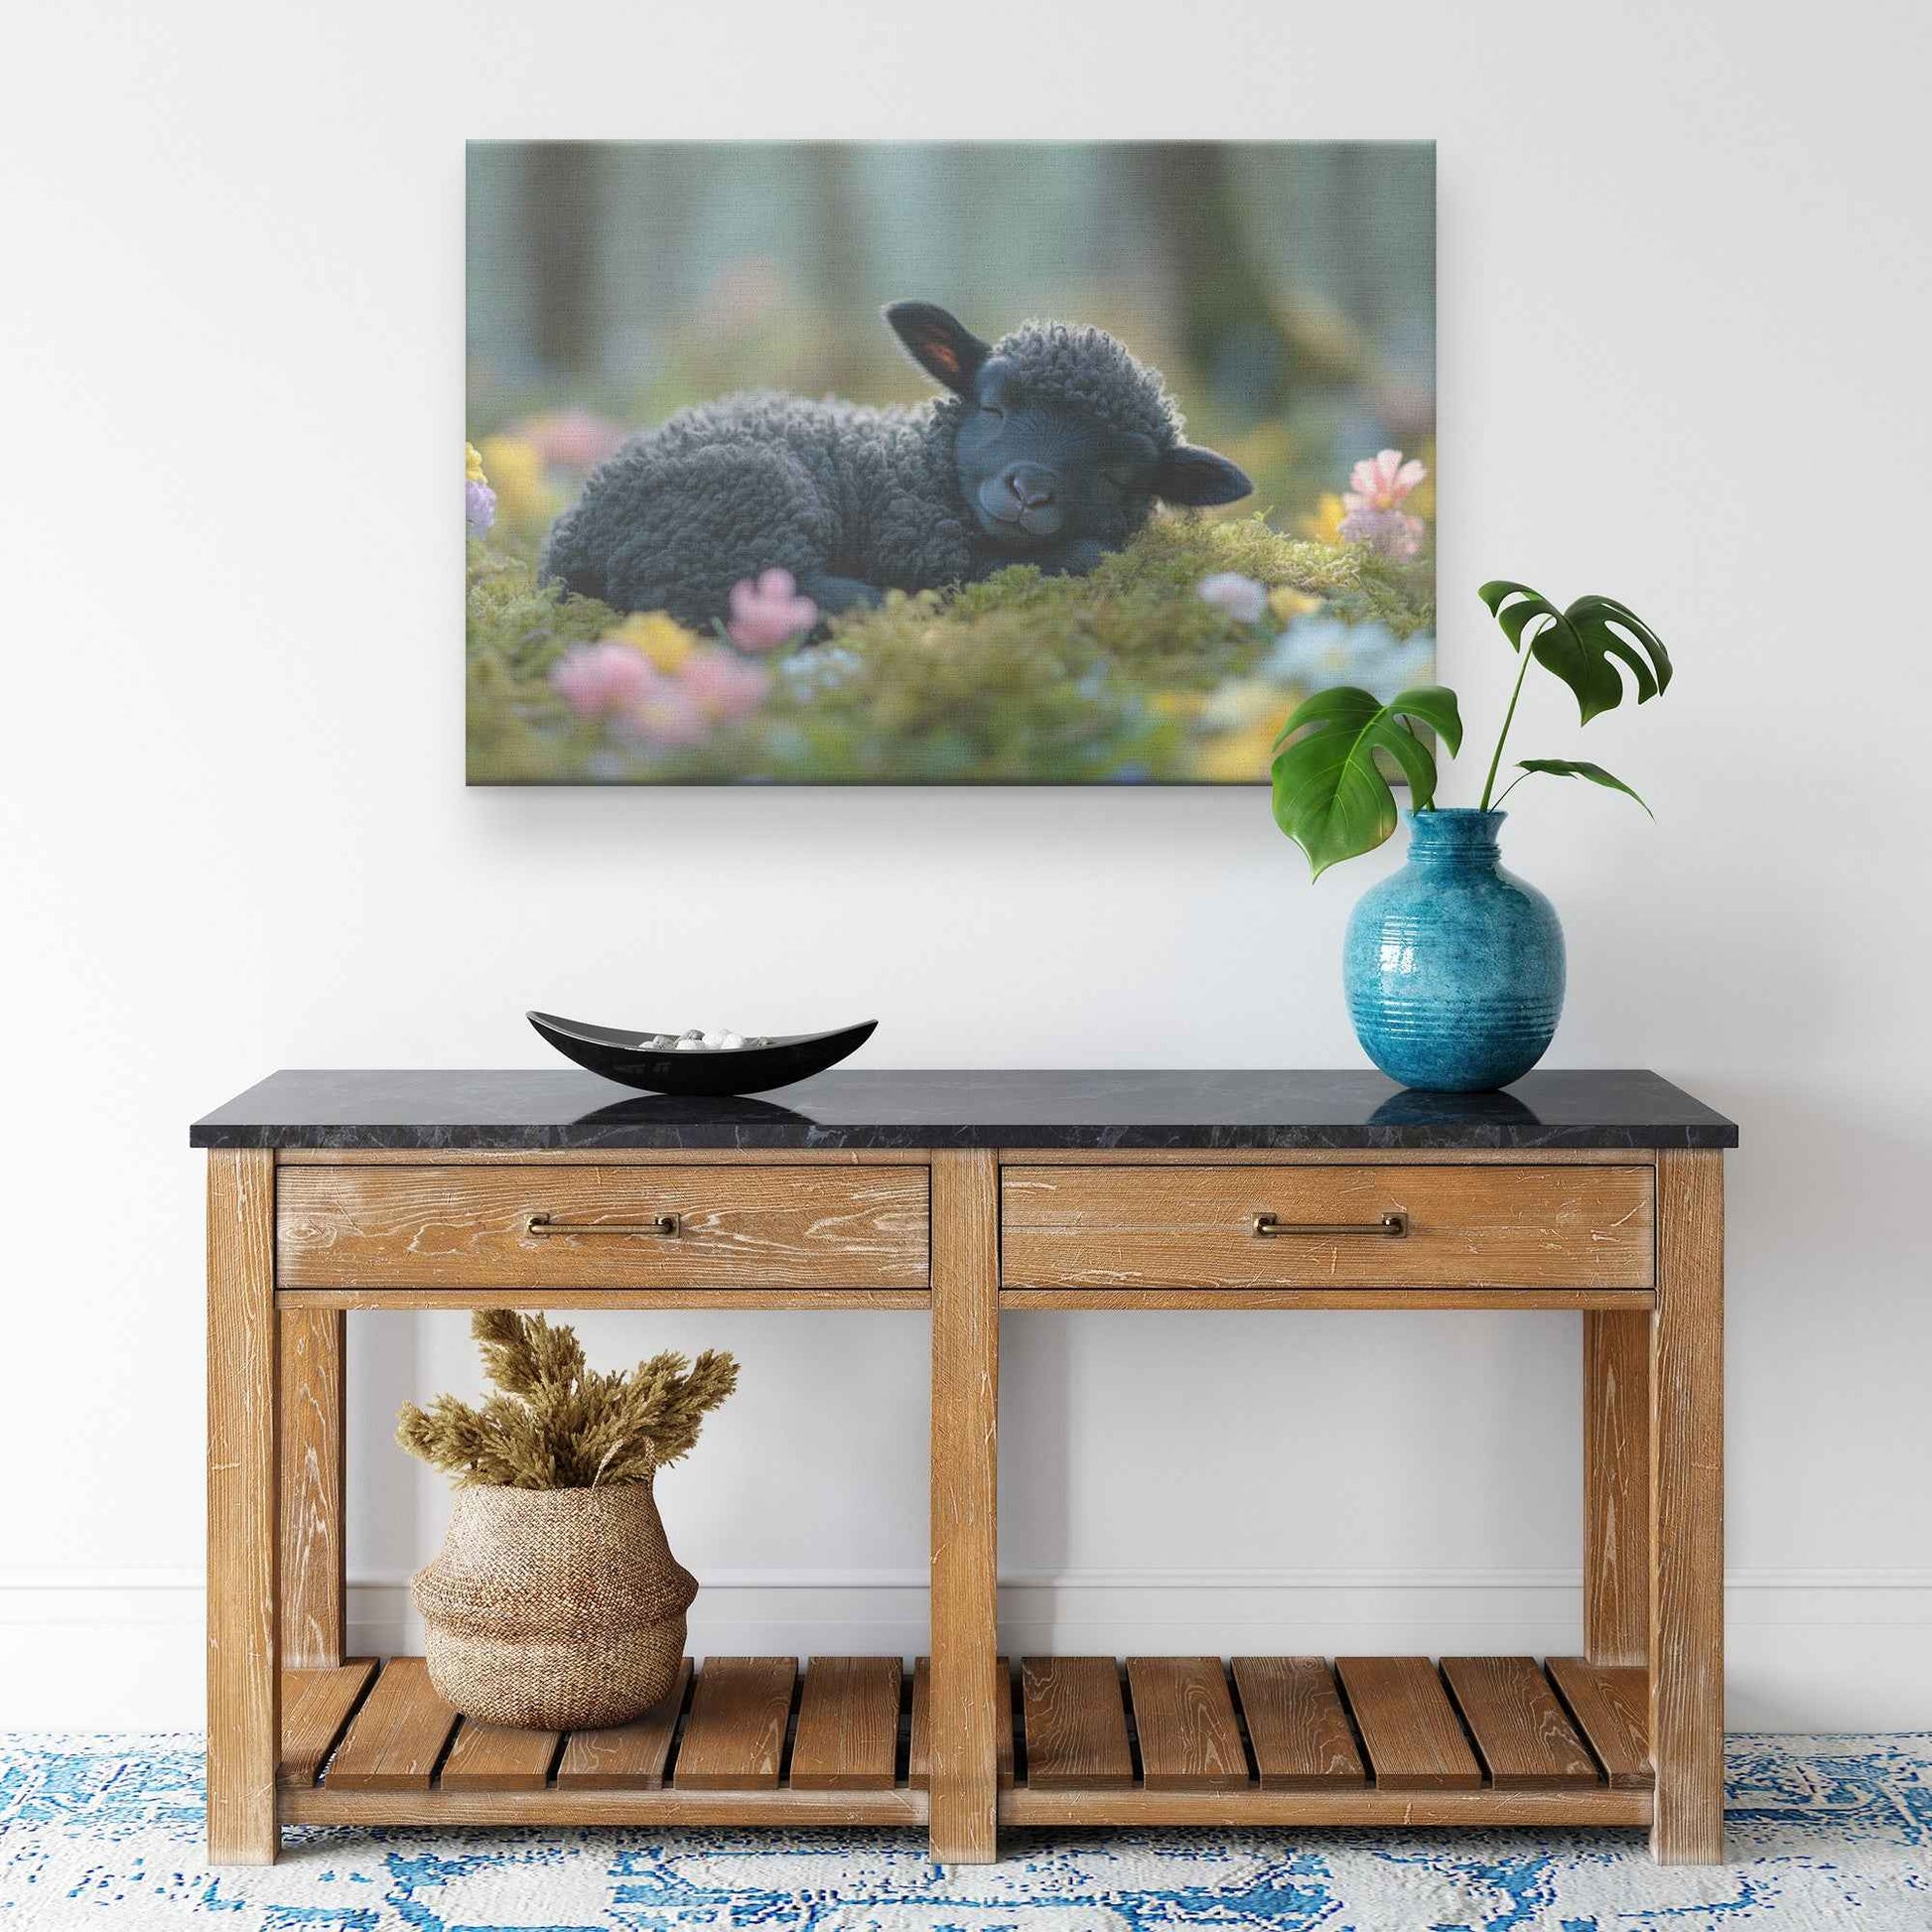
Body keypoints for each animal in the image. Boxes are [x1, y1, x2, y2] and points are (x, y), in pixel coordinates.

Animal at [538, 301, 1253, 629]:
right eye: (993, 406)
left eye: (1118, 474)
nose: (1030, 491)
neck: (917, 465)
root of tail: (571, 546)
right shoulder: (921, 548)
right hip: (739, 508)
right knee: (713, 599)